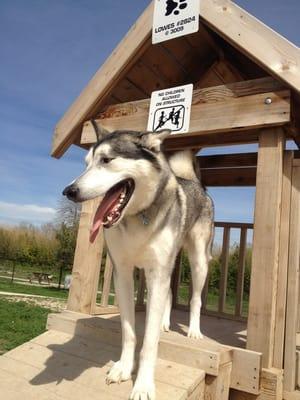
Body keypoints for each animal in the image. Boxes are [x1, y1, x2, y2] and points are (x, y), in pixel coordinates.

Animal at [62, 128, 213, 400]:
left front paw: (143, 384)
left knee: (195, 297)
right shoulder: (122, 274)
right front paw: (123, 368)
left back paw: (194, 330)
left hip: (197, 261)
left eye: (107, 160)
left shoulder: (157, 272)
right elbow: (129, 331)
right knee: (169, 293)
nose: (69, 191)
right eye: (86, 164)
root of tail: (192, 182)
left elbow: (149, 342)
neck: (136, 217)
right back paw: (164, 322)